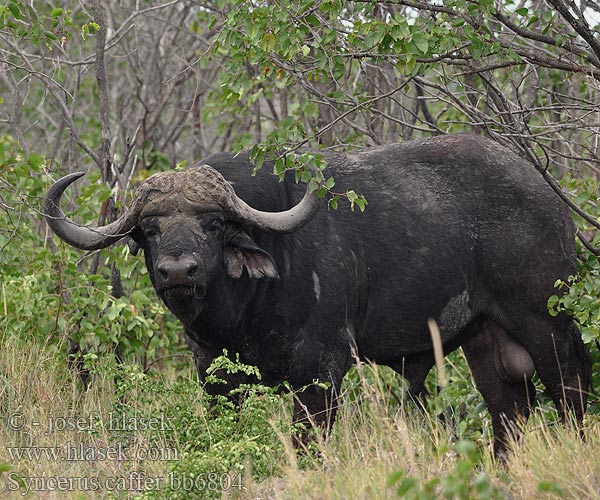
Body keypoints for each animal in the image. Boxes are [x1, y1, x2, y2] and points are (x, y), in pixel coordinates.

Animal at [44, 134, 592, 458]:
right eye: (150, 230)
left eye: (214, 223)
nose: (179, 270)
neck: (244, 308)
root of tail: (550, 200)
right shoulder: (214, 374)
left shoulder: (321, 369)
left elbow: (307, 443)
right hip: (485, 338)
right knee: (508, 407)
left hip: (548, 324)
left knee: (571, 391)